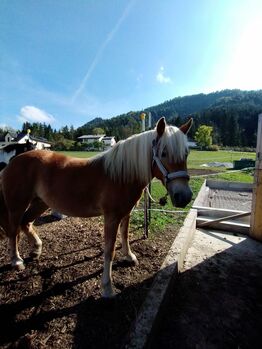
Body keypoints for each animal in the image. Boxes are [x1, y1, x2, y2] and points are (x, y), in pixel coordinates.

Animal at [0, 117, 192, 296]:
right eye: (164, 153)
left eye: (186, 153)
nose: (184, 197)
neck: (121, 174)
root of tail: (13, 161)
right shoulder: (112, 217)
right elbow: (109, 250)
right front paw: (107, 287)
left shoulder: (126, 213)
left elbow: (125, 236)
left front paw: (129, 257)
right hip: (17, 205)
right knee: (13, 230)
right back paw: (17, 261)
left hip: (40, 203)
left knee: (25, 223)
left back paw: (36, 249)